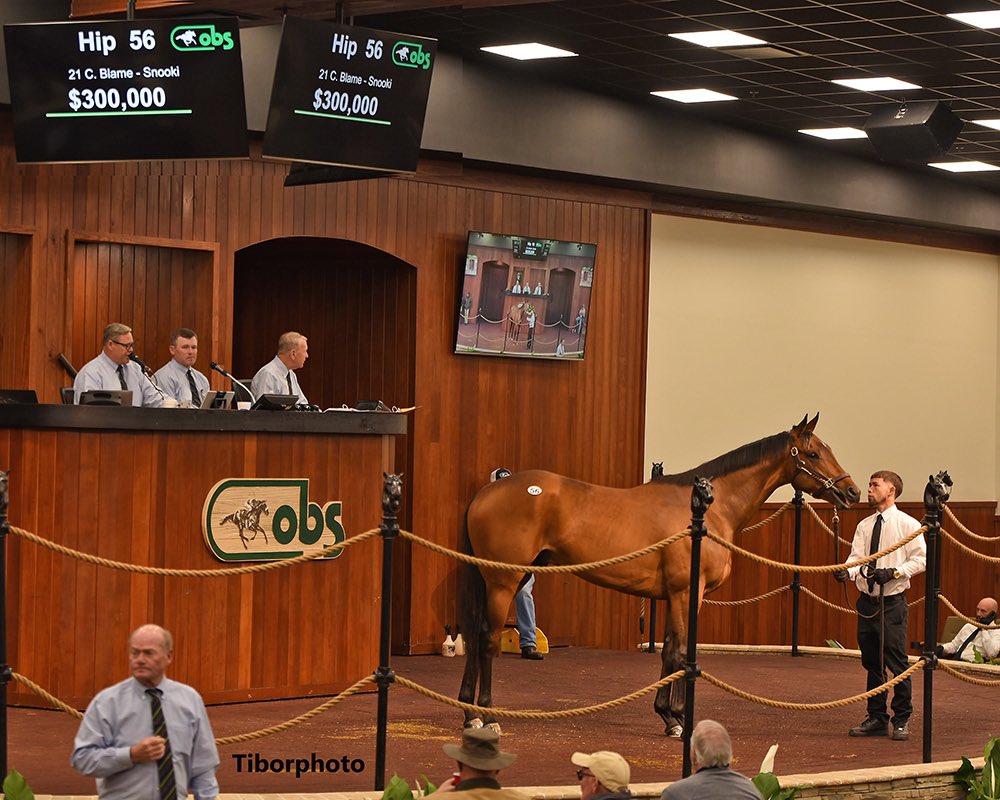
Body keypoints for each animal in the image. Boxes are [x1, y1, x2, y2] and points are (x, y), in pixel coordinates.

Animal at [460, 416, 860, 736]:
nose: (852, 491)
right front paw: (680, 719)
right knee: (488, 641)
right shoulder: (688, 593)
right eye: (812, 454)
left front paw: (667, 716)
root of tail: (487, 492)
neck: (706, 510)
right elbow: (682, 651)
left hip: (490, 580)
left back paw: (469, 713)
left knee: (476, 636)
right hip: (503, 581)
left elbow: (668, 651)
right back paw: (488, 716)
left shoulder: (673, 596)